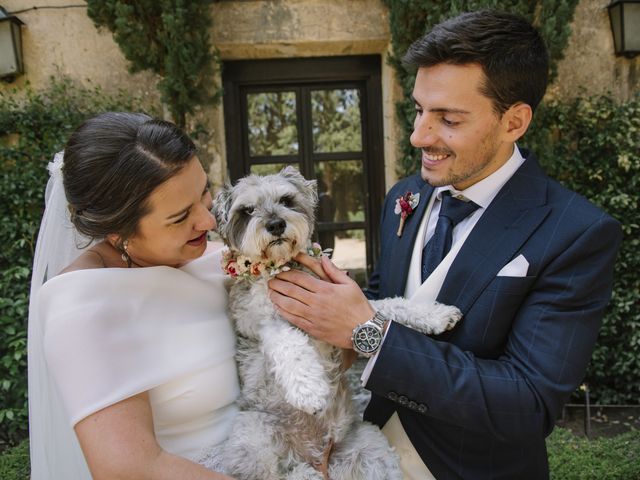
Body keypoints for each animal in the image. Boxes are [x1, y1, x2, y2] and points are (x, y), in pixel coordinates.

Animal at [214, 166, 460, 480]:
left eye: (286, 200)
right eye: (247, 210)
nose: (276, 225)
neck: (284, 266)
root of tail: (318, 456)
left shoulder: (348, 300)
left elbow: (391, 306)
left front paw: (437, 315)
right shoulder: (265, 322)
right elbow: (289, 345)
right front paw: (310, 393)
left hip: (373, 450)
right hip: (251, 440)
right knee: (276, 473)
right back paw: (303, 473)